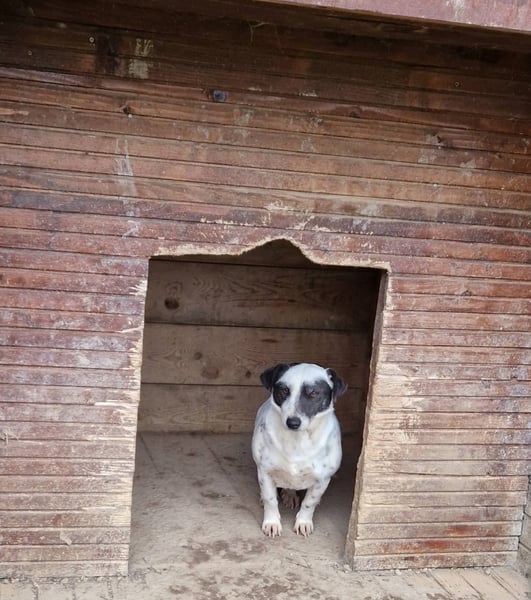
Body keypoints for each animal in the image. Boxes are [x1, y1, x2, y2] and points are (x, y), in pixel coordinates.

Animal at [252, 362, 347, 537]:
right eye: (284, 390)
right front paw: (272, 523)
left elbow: (310, 502)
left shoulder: (323, 480)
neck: (297, 441)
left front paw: (303, 522)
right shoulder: (264, 472)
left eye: (313, 393)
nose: (293, 422)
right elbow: (270, 500)